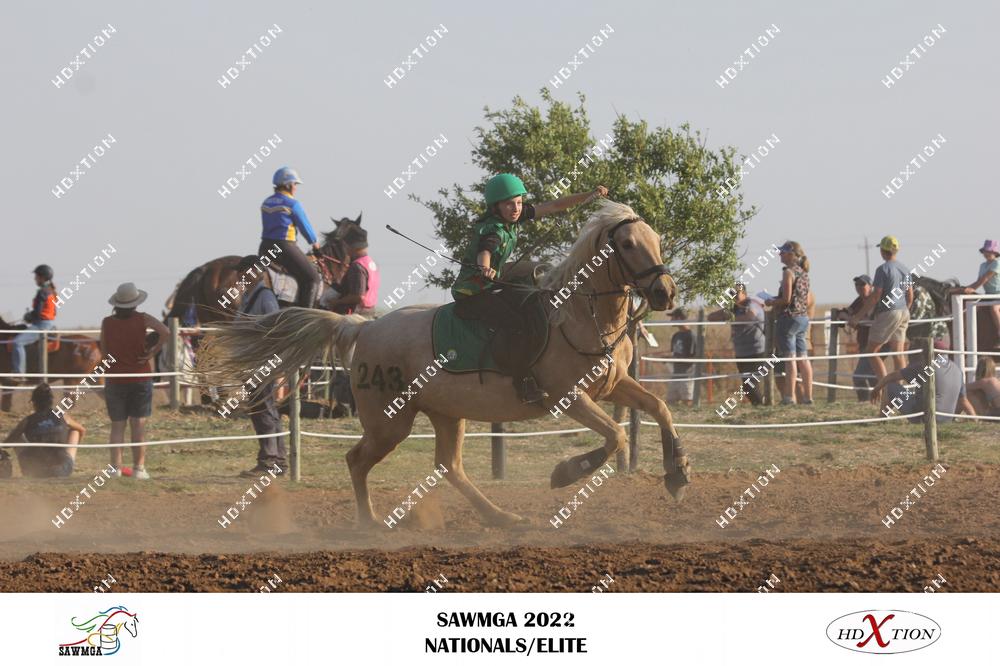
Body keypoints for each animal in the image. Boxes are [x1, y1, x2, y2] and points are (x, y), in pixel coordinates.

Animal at [197, 200, 689, 527]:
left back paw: (501, 517)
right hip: (390, 422)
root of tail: (363, 328)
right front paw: (566, 473)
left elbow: (659, 409)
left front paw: (678, 472)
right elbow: (616, 437)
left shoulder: (614, 385)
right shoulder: (569, 398)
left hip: (447, 414)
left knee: (448, 467)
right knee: (357, 460)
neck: (580, 316)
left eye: (657, 240)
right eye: (628, 244)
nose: (665, 292)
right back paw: (370, 523)